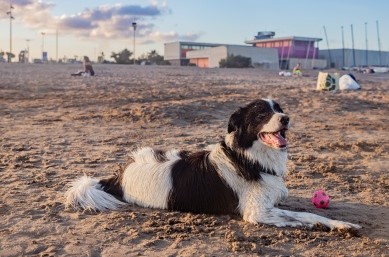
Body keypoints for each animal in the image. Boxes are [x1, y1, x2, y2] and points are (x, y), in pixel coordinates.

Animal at [65, 99, 360, 229]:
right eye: (261, 114)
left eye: (279, 109)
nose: (286, 118)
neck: (248, 157)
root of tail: (118, 176)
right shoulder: (256, 213)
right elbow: (302, 217)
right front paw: (331, 225)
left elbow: (304, 212)